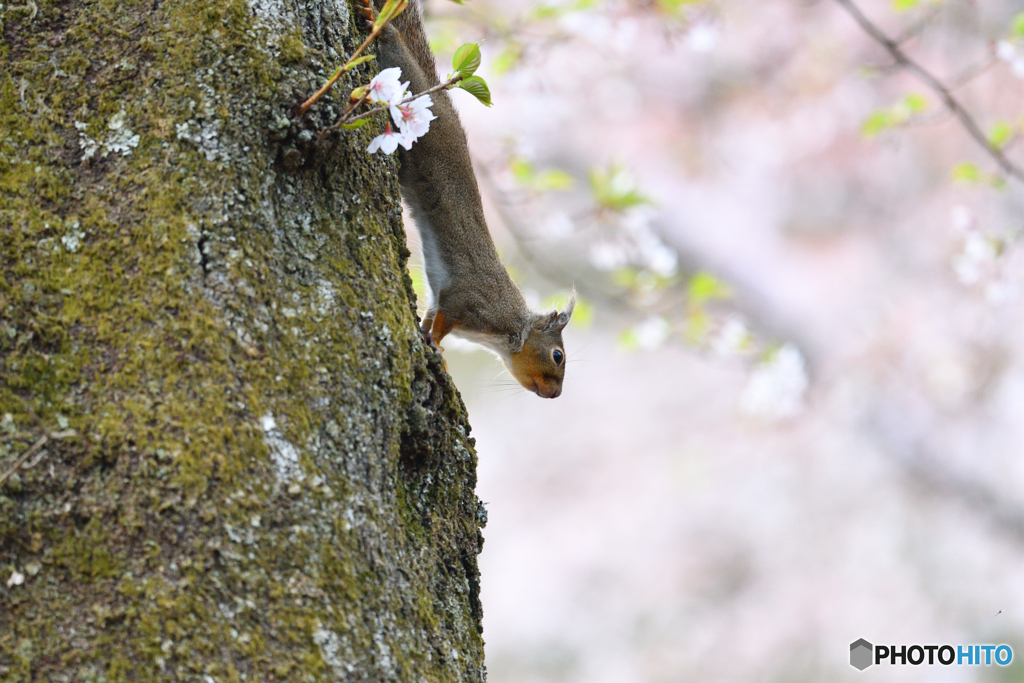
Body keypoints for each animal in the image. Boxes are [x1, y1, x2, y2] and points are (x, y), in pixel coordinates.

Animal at [366, 0, 577, 397]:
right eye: (558, 356)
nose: (555, 394)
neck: (509, 328)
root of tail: (443, 99)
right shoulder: (468, 301)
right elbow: (442, 323)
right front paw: (434, 345)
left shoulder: (442, 300)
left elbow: (429, 317)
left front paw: (437, 351)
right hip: (417, 93)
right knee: (400, 56)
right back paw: (382, 26)